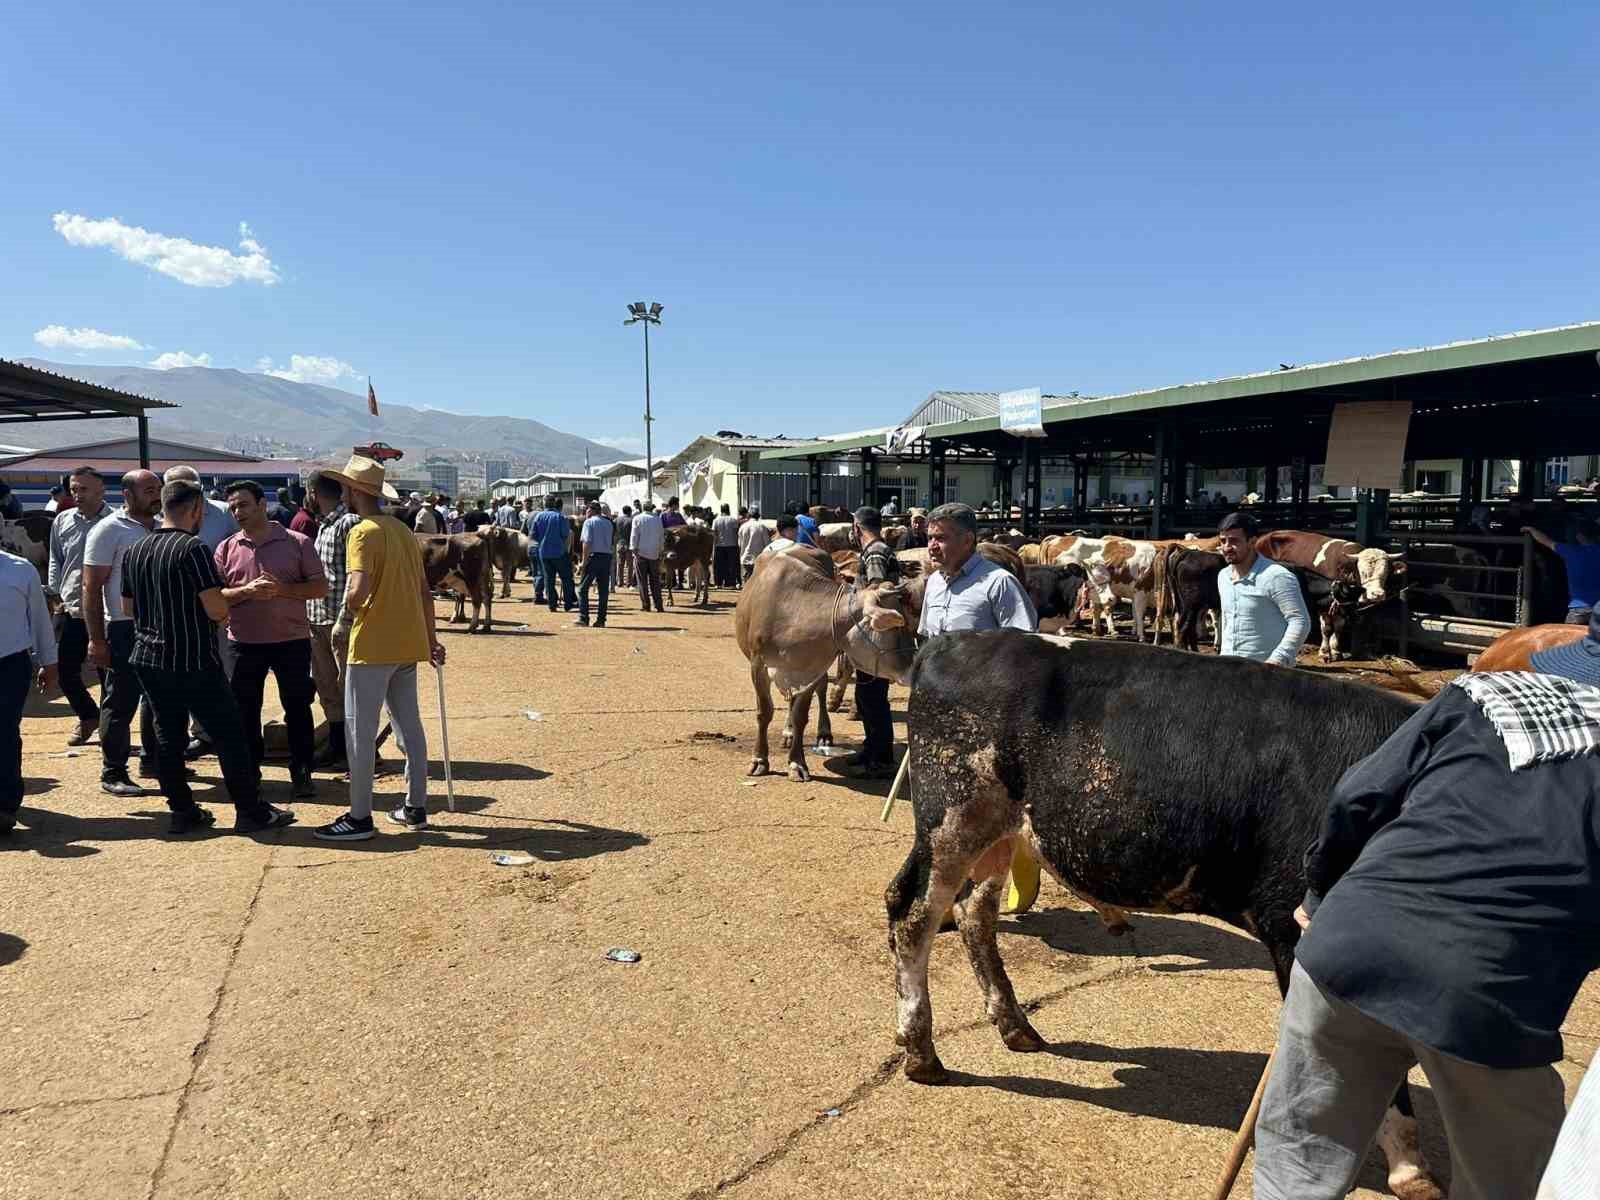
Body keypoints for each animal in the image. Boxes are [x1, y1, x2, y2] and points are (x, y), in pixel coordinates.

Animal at [883, 630, 1446, 1200]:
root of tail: (952, 640)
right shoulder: (1297, 931)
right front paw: (1407, 1168)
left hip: (998, 832)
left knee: (975, 912)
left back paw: (1015, 1027)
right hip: (952, 818)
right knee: (912, 912)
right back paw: (922, 1051)